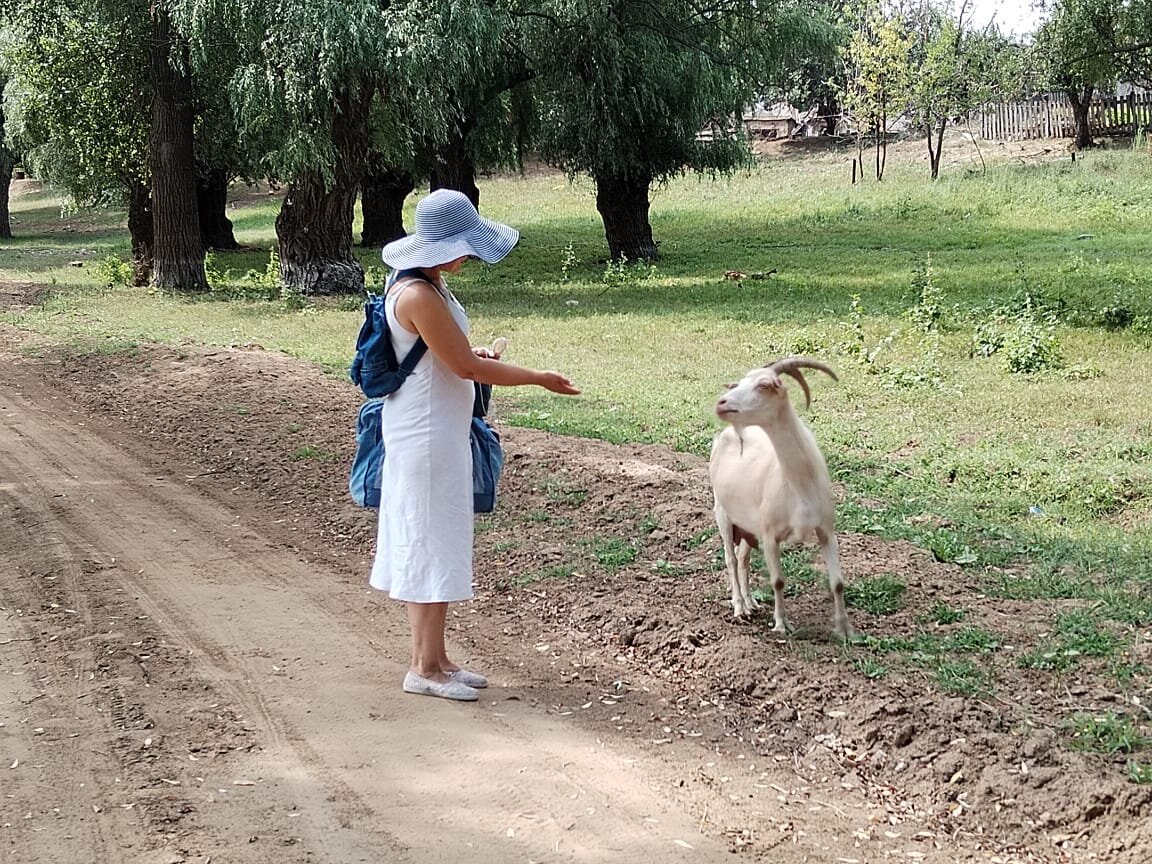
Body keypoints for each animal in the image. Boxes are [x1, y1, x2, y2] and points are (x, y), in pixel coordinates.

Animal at [705, 354, 852, 640]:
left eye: (764, 385)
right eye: (739, 382)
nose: (721, 403)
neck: (800, 485)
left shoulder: (826, 529)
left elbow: (837, 582)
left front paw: (844, 629)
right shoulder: (770, 533)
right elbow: (778, 580)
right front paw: (782, 624)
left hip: (749, 527)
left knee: (743, 558)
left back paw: (751, 603)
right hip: (722, 512)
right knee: (730, 558)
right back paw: (739, 607)